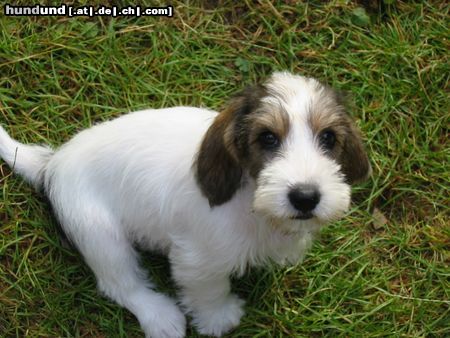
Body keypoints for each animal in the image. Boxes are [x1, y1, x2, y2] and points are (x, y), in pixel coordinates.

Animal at [0, 71, 370, 336]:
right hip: (98, 234)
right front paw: (219, 318)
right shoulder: (197, 261)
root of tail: (52, 165)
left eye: (328, 138)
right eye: (267, 138)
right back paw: (160, 317)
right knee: (120, 284)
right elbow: (211, 290)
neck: (250, 199)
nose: (305, 197)